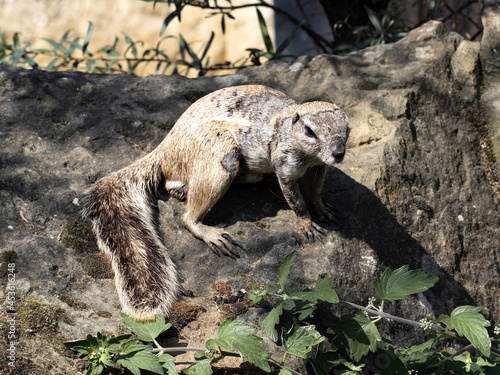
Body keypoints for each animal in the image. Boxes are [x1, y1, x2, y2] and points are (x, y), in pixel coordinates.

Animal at [83, 84, 348, 320]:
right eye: (310, 131)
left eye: (347, 127)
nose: (339, 153)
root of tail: (164, 150)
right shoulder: (285, 166)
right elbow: (296, 201)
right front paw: (308, 224)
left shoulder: (320, 166)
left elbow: (316, 189)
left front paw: (323, 209)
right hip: (221, 155)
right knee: (187, 216)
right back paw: (211, 233)